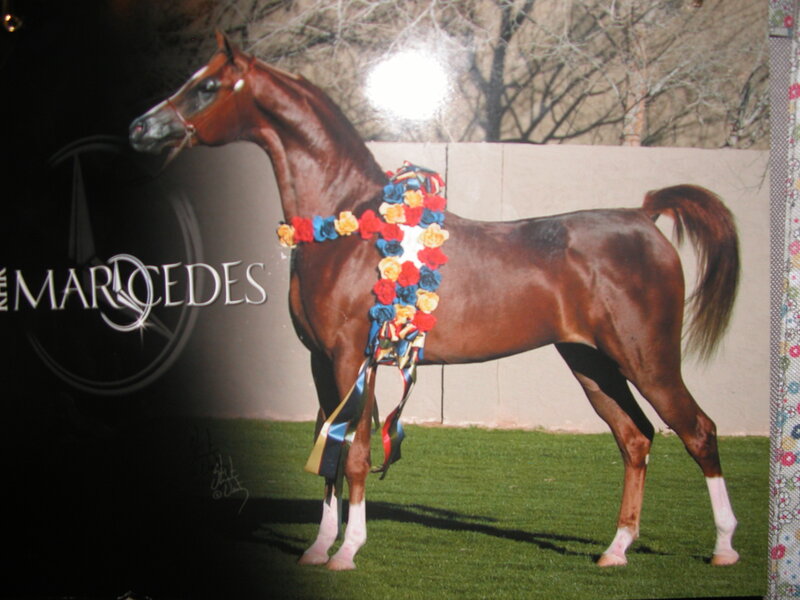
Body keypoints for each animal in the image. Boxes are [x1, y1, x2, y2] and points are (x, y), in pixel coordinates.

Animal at [130, 32, 740, 571]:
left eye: (207, 86)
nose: (141, 128)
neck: (347, 229)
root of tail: (643, 215)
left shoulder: (354, 359)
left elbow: (355, 453)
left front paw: (347, 552)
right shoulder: (320, 363)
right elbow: (328, 453)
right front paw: (317, 548)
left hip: (647, 359)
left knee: (698, 430)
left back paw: (724, 548)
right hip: (591, 363)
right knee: (634, 439)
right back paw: (615, 550)